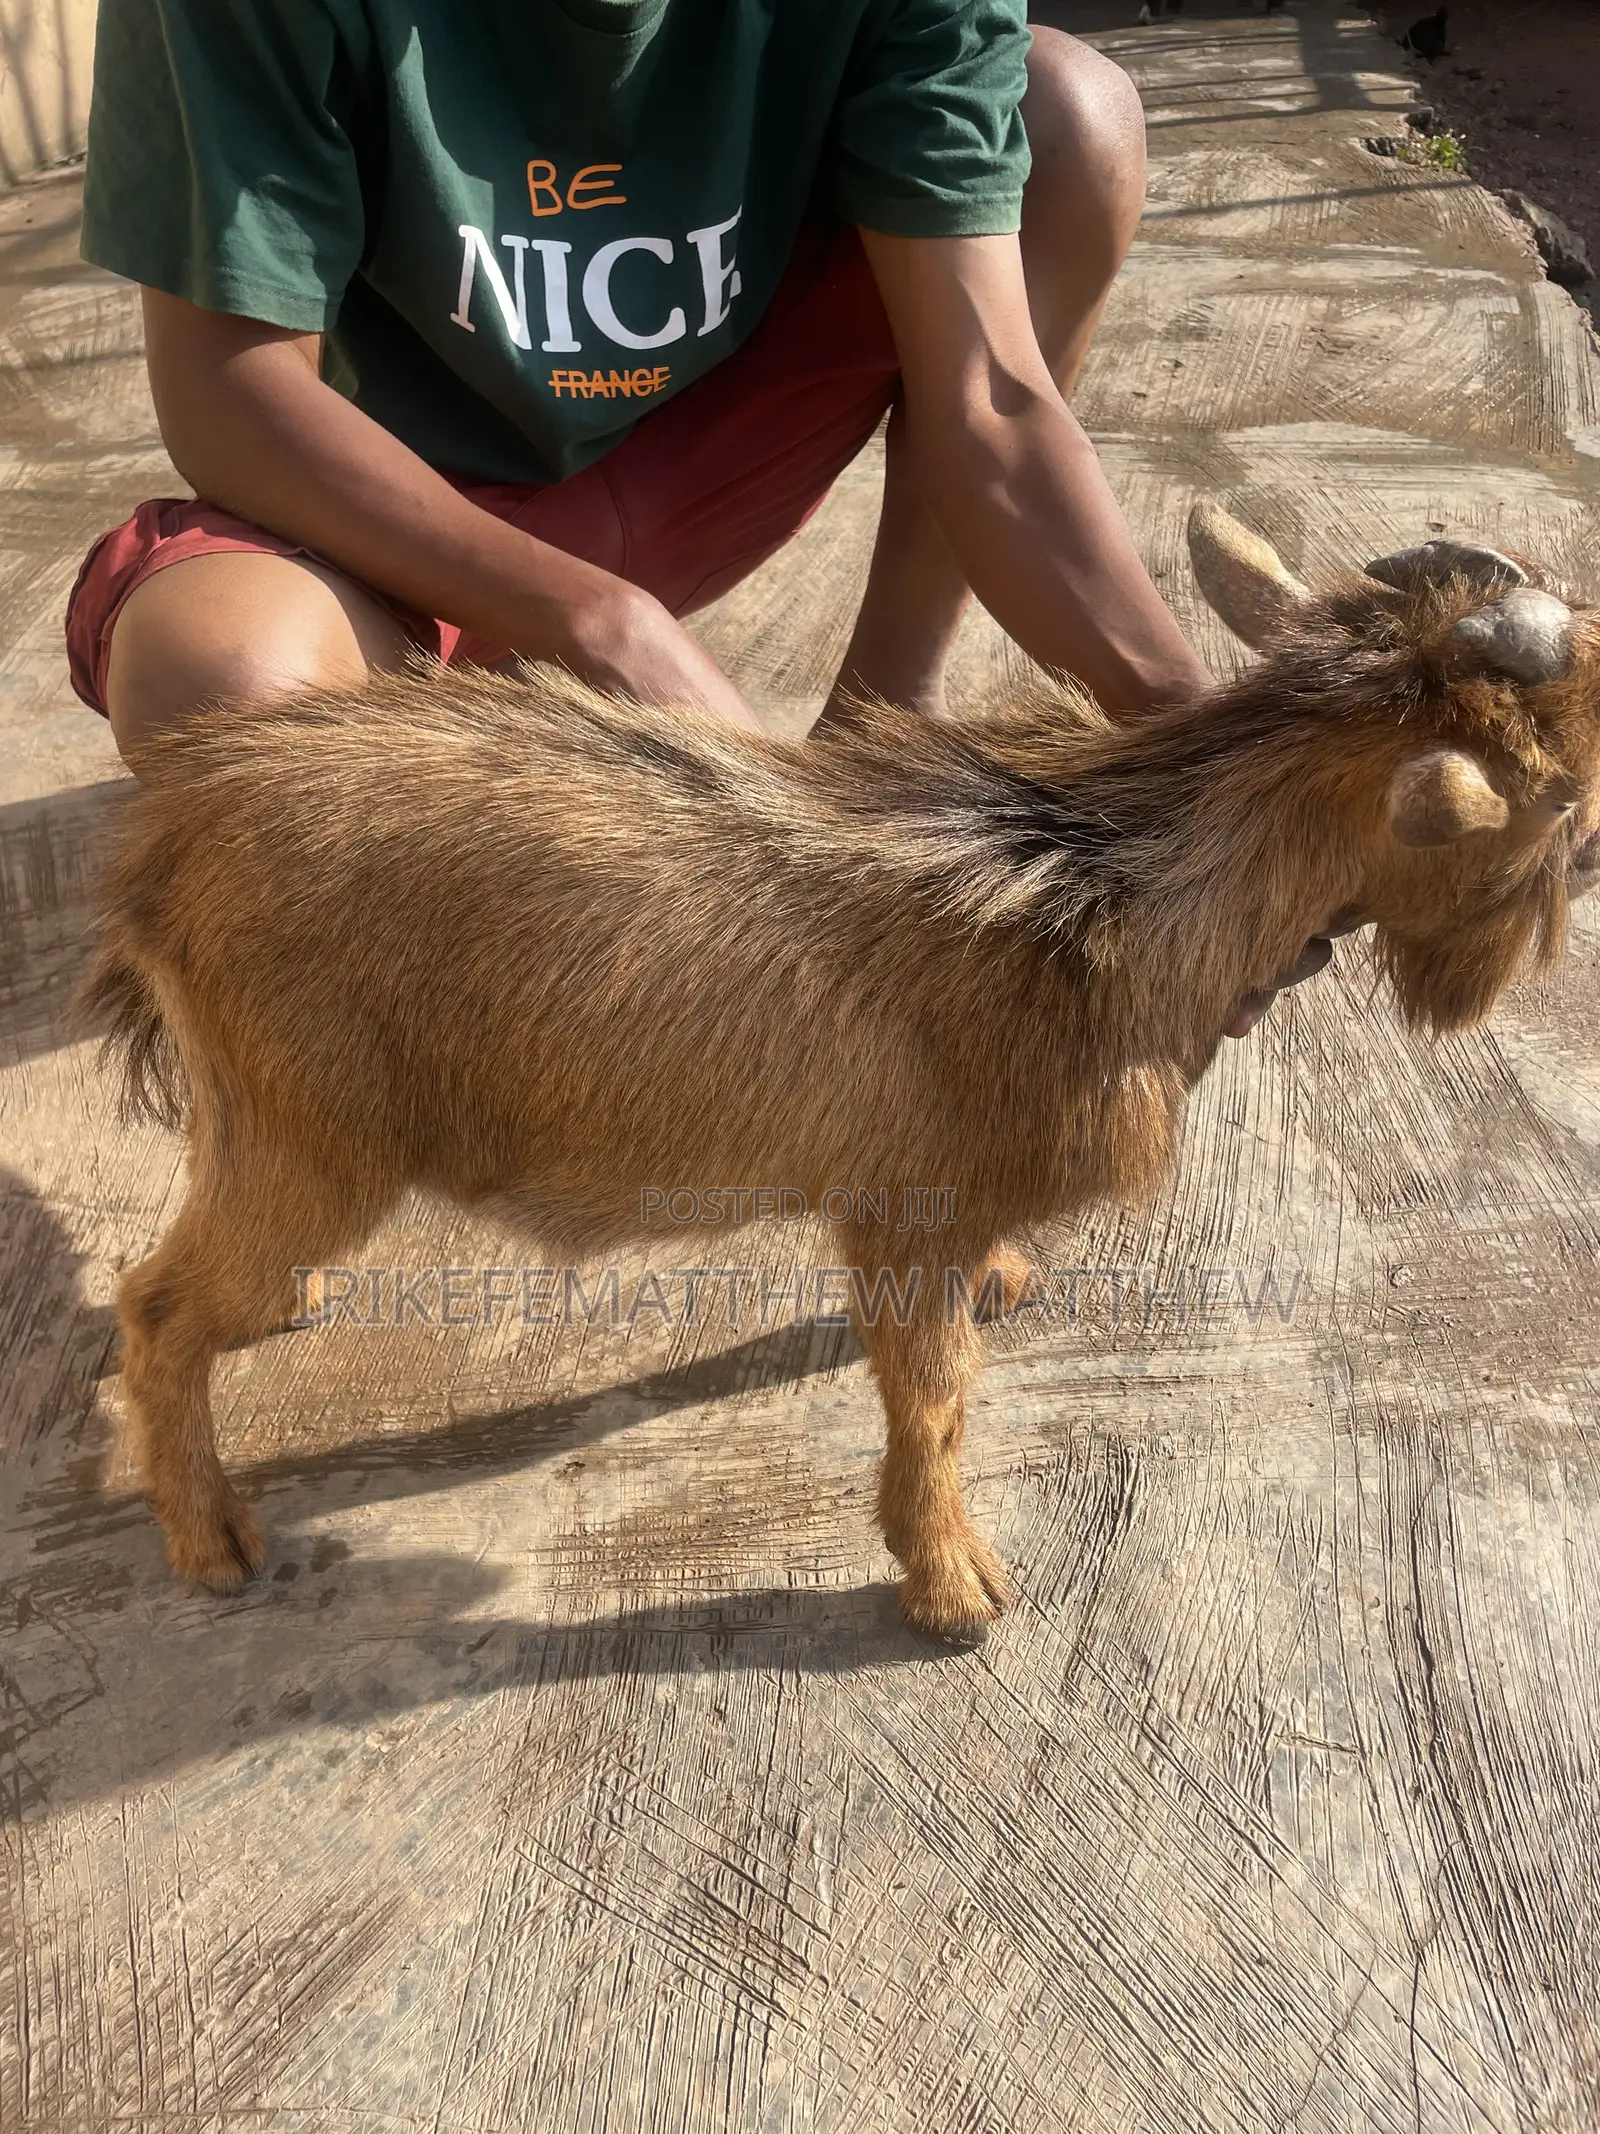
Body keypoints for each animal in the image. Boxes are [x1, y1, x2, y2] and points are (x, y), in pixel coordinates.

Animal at [86, 506, 1600, 1636]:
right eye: (1567, 793)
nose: (1587, 867)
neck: (1100, 884)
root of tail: (168, 841)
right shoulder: (902, 1202)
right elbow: (933, 1398)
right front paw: (952, 1584)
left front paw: (1004, 1291)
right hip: (314, 1129)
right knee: (152, 1306)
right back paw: (212, 1537)